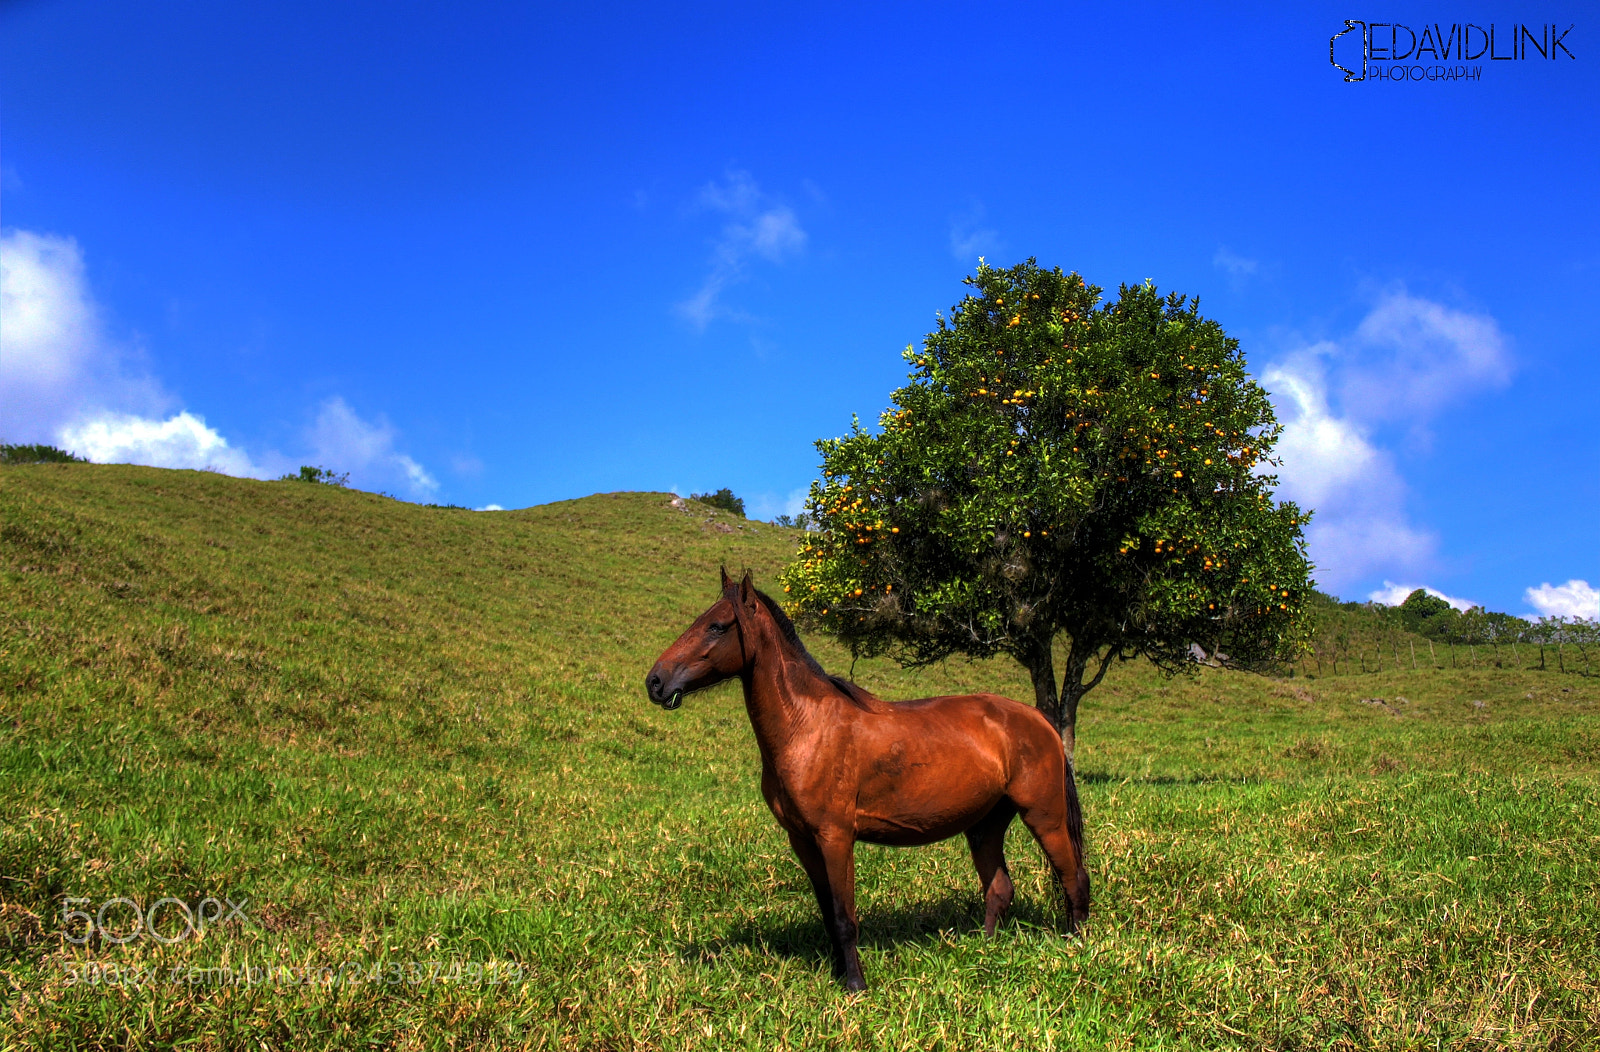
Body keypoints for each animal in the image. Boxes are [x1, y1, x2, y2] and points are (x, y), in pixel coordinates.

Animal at [645, 569, 1090, 991]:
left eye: (718, 626)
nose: (655, 682)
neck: (807, 727)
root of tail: (1040, 721)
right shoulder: (803, 840)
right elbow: (828, 914)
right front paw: (838, 973)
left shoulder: (836, 838)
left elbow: (845, 918)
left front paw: (855, 985)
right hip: (985, 826)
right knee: (999, 889)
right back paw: (985, 949)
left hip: (1045, 818)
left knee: (1074, 878)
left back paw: (1076, 947)